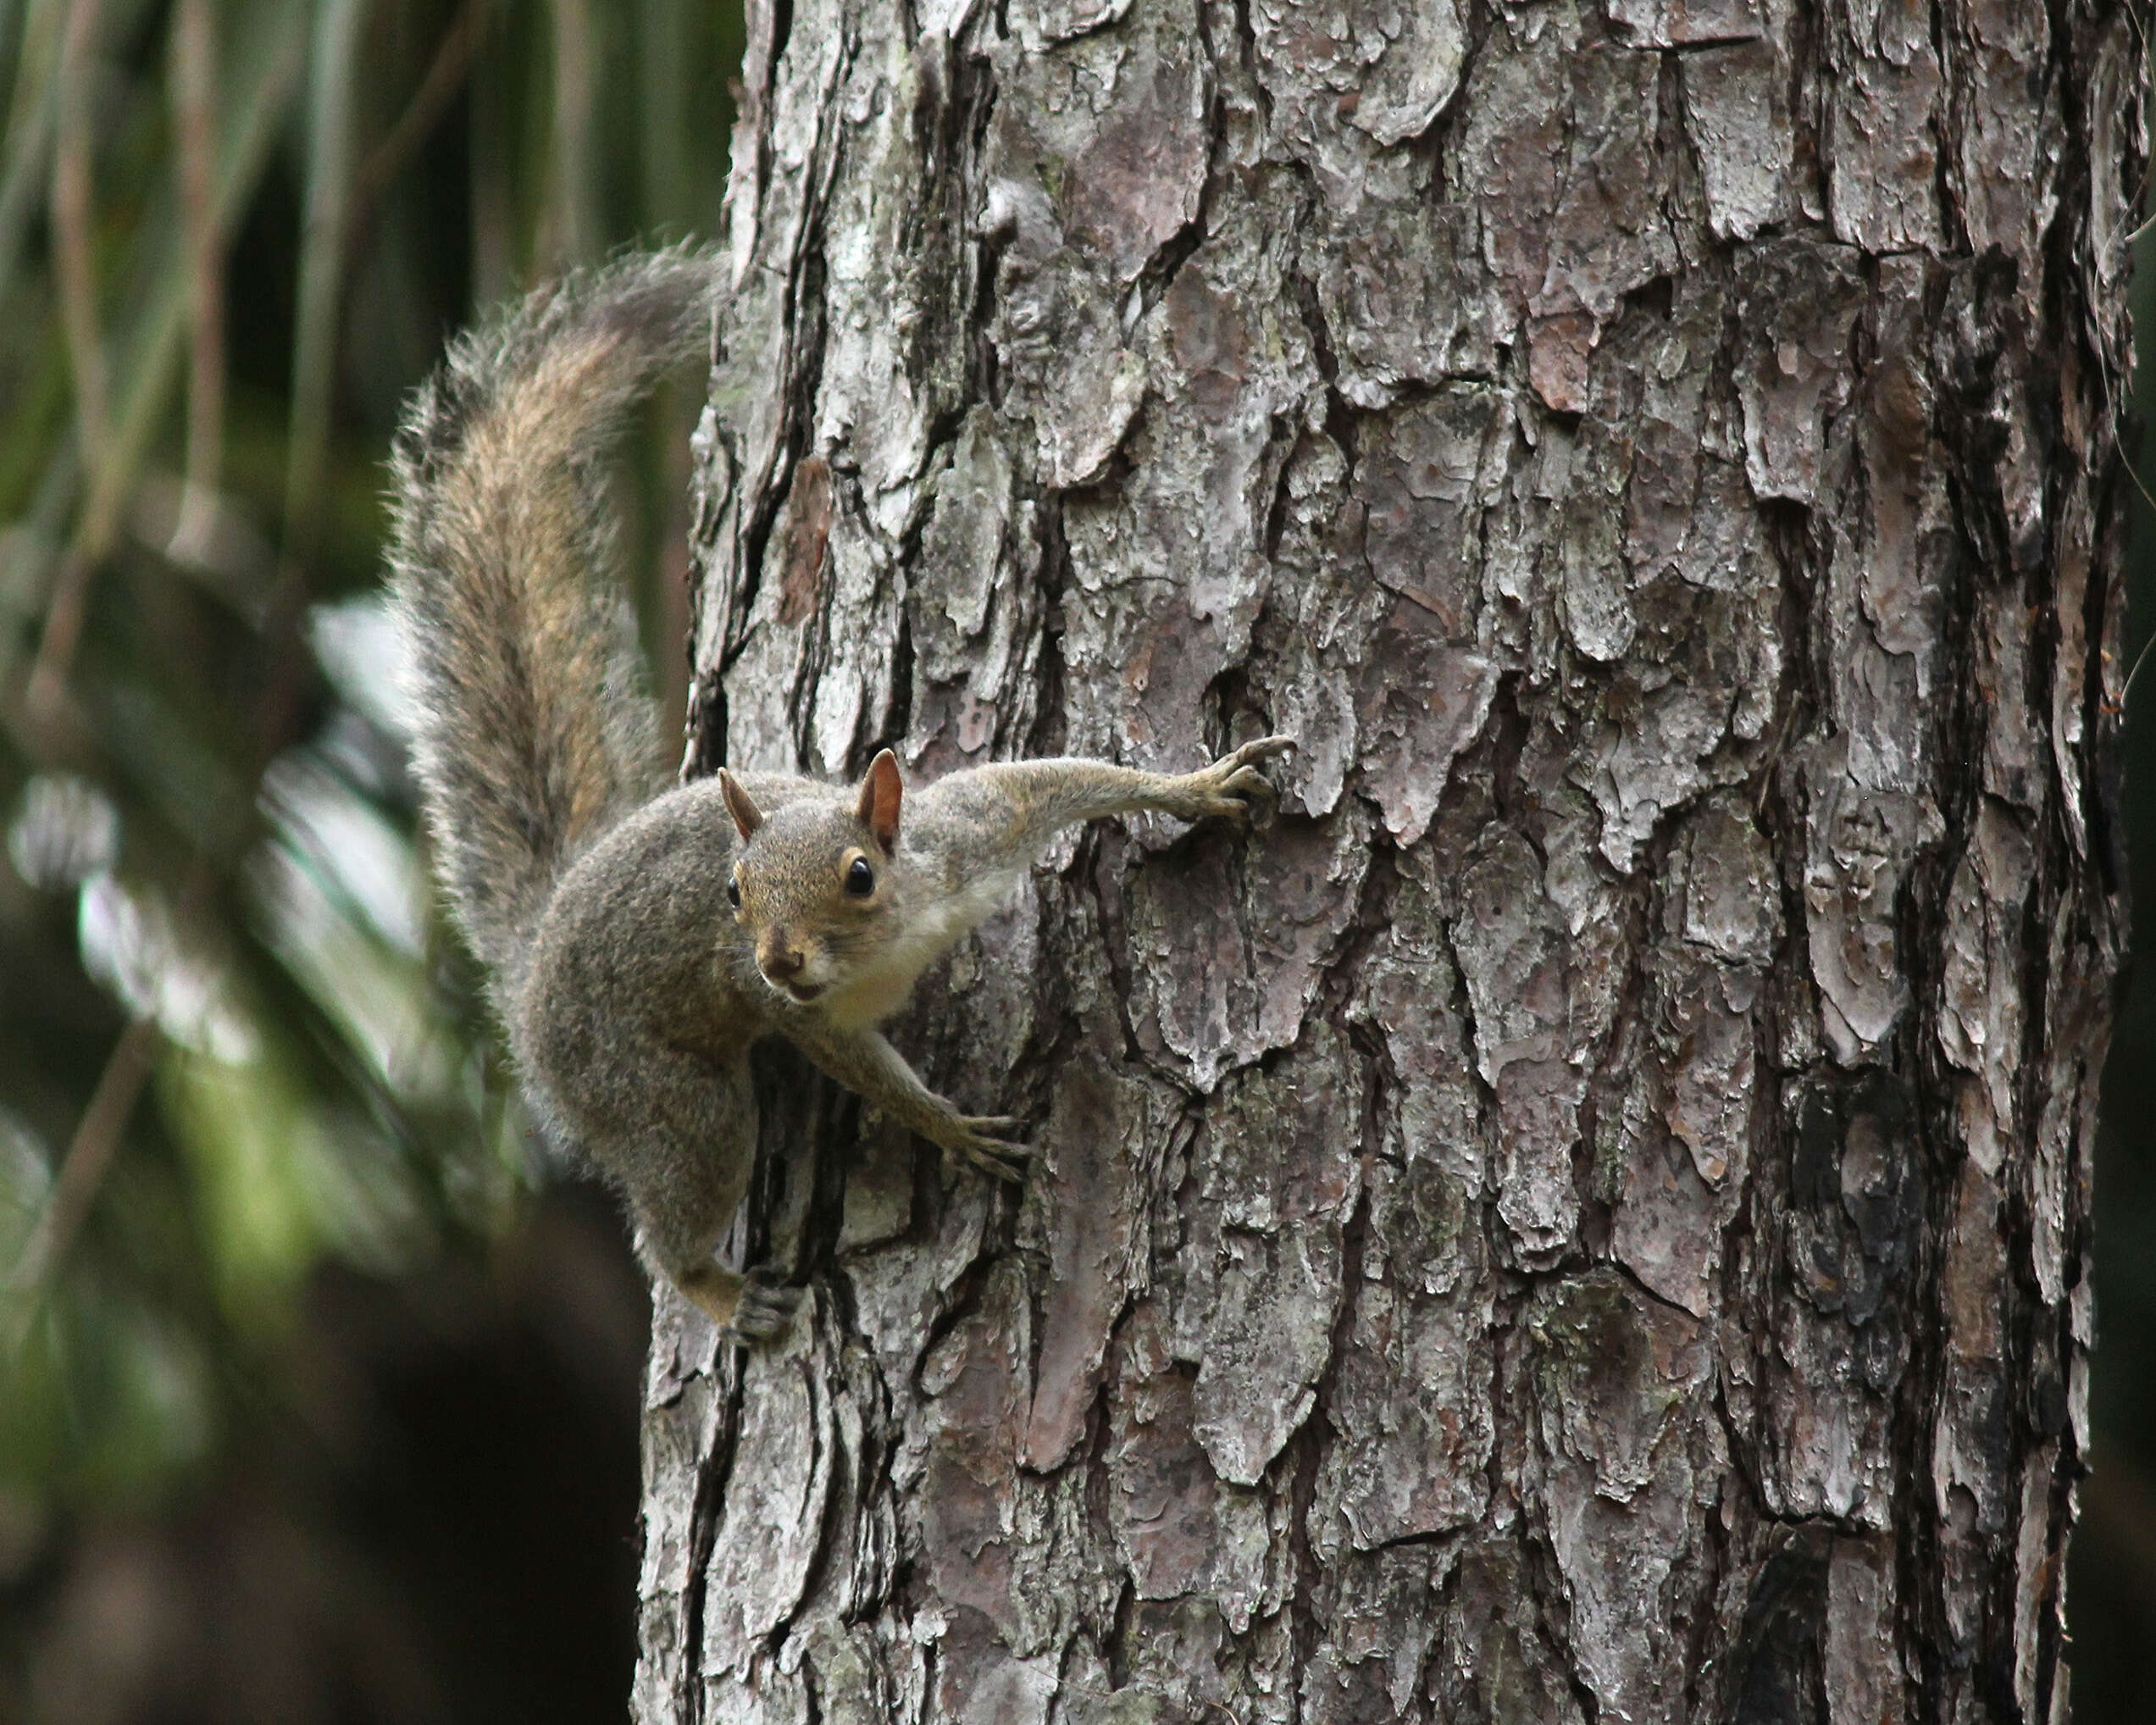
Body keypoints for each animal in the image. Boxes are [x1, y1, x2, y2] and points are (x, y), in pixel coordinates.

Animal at [385, 248, 1284, 1336]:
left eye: (859, 874)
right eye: (732, 894)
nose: (776, 957)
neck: (887, 941)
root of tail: (528, 980)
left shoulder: (965, 833)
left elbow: (1058, 782)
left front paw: (1196, 785)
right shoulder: (803, 1015)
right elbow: (865, 1068)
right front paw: (949, 1127)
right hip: (666, 1096)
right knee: (670, 1216)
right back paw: (726, 1293)